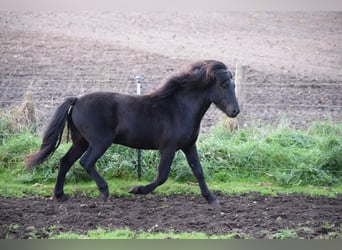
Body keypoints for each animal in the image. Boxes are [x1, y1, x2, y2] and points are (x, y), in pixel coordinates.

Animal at [25, 60, 239, 203]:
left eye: (234, 85)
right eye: (224, 85)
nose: (235, 111)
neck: (180, 108)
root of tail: (76, 100)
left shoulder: (189, 146)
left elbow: (198, 171)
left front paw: (211, 198)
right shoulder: (168, 148)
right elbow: (162, 176)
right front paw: (137, 189)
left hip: (81, 142)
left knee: (65, 162)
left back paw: (60, 195)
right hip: (99, 142)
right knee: (86, 162)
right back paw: (104, 190)